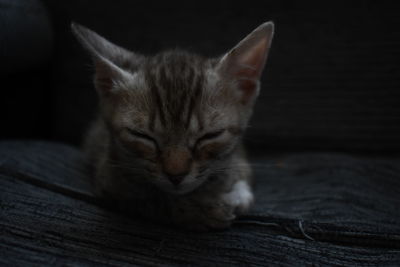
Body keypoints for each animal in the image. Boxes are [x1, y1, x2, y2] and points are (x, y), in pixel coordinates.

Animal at [72, 22, 274, 231]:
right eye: (142, 136)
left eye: (210, 136)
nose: (176, 176)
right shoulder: (110, 182)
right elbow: (157, 201)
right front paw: (206, 210)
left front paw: (234, 194)